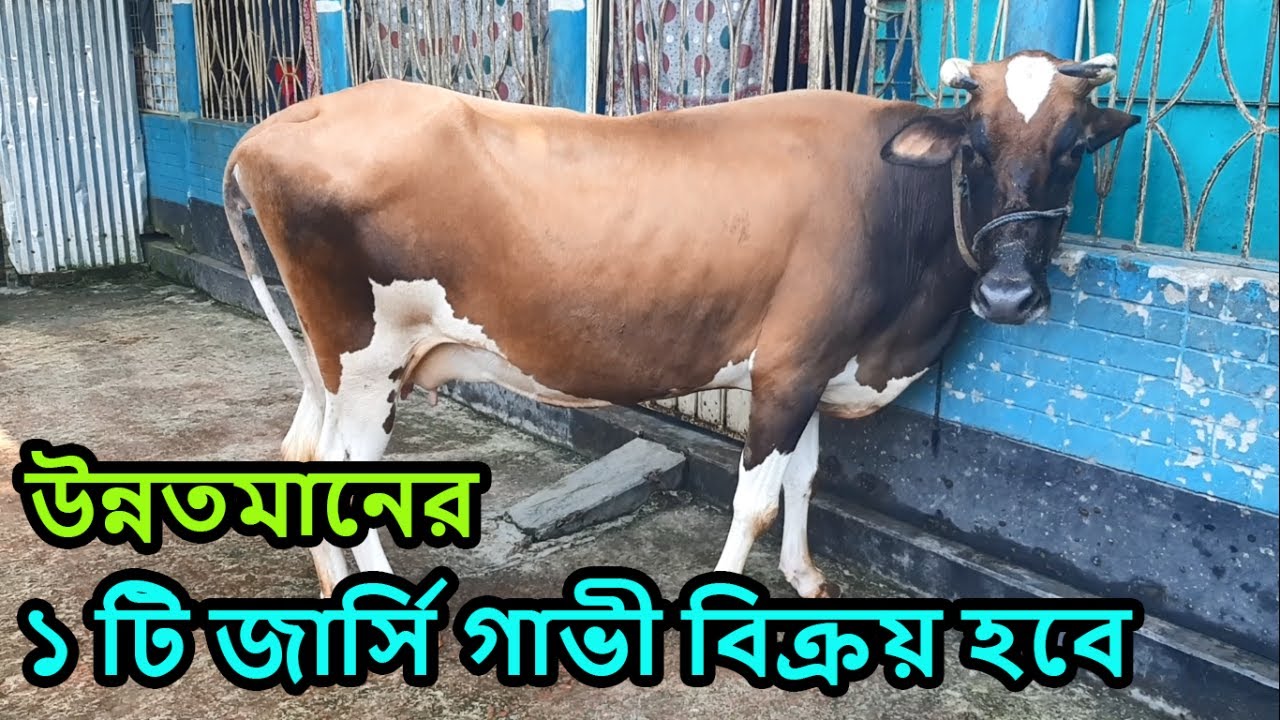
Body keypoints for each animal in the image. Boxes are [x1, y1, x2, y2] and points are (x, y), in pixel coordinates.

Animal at [223, 49, 1140, 599]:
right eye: (975, 146)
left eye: (1073, 149)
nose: (1012, 294)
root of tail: (276, 126)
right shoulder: (789, 367)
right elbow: (755, 500)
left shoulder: (812, 363)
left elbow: (805, 480)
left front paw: (805, 577)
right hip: (366, 355)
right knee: (336, 469)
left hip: (339, 360)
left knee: (301, 452)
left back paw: (333, 585)